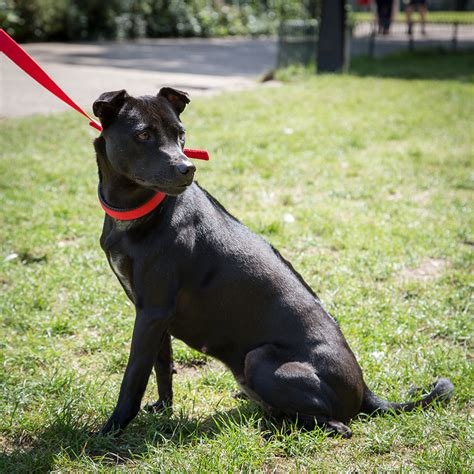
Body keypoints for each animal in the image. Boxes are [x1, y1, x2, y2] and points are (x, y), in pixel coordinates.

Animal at [93, 86, 456, 436]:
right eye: (143, 134)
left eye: (181, 134)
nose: (188, 168)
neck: (141, 210)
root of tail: (365, 392)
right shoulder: (153, 313)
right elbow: (162, 366)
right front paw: (163, 409)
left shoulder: (152, 312)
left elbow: (134, 376)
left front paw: (111, 430)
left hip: (260, 358)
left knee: (338, 425)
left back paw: (280, 425)